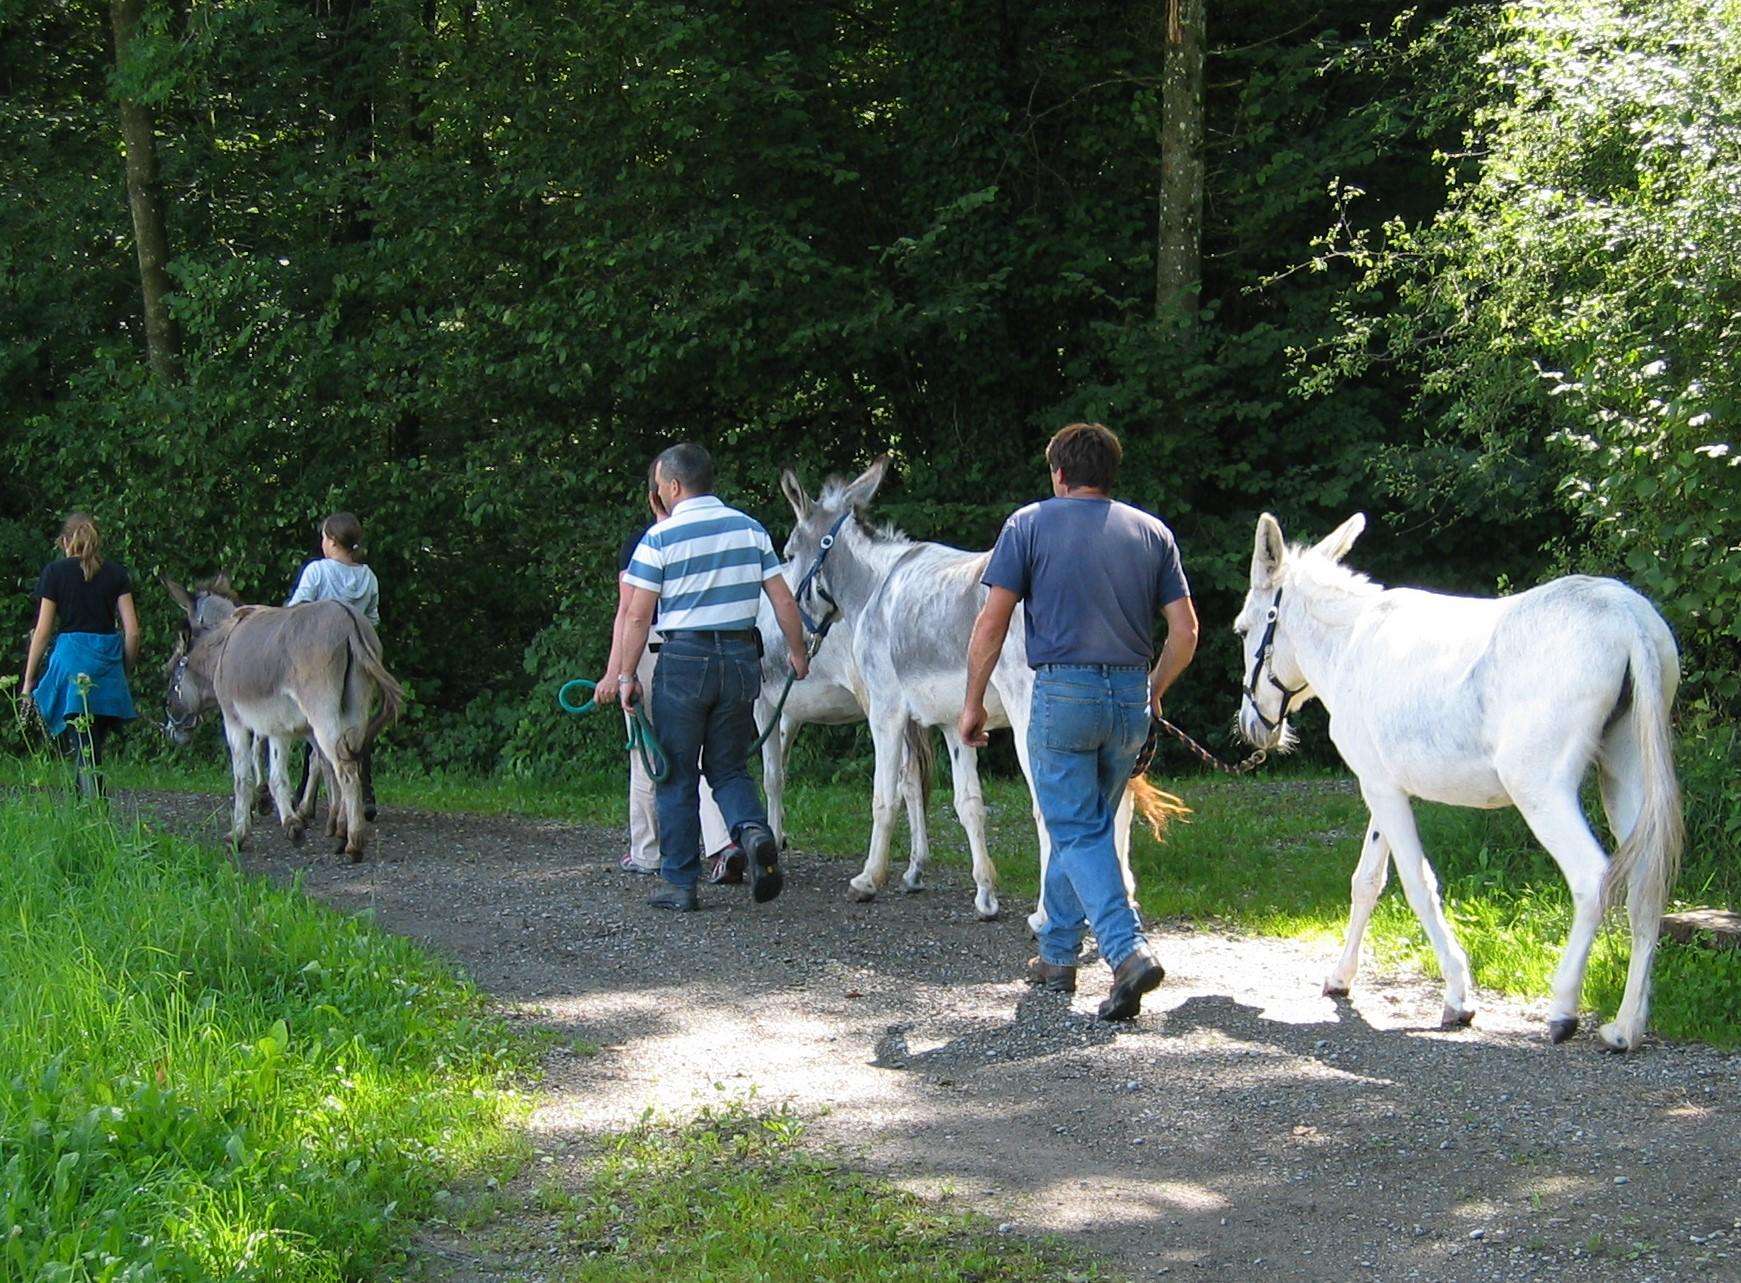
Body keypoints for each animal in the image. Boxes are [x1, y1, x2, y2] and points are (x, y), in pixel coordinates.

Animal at [162, 576, 404, 860]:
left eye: (172, 670)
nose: (171, 729)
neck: (224, 645)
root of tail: (348, 619)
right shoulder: (277, 726)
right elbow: (279, 774)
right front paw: (291, 823)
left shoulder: (235, 721)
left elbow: (242, 776)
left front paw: (239, 833)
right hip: (356, 710)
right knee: (347, 758)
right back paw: (341, 828)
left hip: (322, 714)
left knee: (344, 768)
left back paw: (353, 843)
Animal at [781, 458, 1178, 924]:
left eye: (788, 555)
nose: (792, 643)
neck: (876, 587)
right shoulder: (956, 724)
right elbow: (968, 804)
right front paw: (985, 894)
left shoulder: (885, 714)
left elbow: (884, 798)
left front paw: (868, 880)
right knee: (1118, 804)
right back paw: (1120, 899)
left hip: (1034, 726)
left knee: (1053, 809)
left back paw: (1046, 915)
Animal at [1235, 512, 1682, 1051]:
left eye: (1243, 631)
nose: (1252, 727)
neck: (1350, 645)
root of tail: (1625, 616)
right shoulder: (1382, 788)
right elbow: (1367, 881)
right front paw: (1341, 978)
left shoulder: (1381, 789)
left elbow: (1416, 883)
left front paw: (1458, 997)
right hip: (1624, 778)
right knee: (1646, 886)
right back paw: (1626, 1026)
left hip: (1541, 792)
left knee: (1592, 878)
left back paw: (1562, 1009)